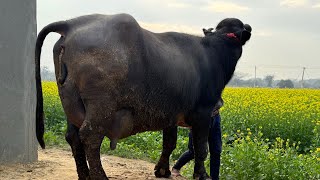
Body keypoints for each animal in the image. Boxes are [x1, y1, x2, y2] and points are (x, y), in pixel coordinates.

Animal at [34, 13, 250, 179]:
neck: (215, 52)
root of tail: (71, 24)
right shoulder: (203, 113)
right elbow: (201, 149)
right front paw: (202, 175)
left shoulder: (170, 114)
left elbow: (169, 142)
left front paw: (162, 170)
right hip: (100, 107)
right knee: (90, 136)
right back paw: (100, 176)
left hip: (71, 104)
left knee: (73, 136)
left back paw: (84, 175)